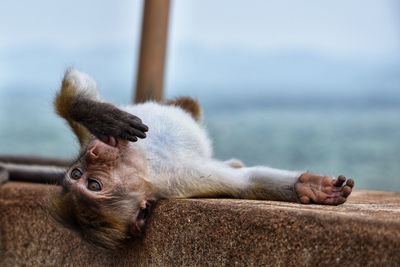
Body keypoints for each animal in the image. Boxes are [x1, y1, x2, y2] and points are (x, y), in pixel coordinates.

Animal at [48, 70, 354, 250]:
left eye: (80, 176)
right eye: (94, 185)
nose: (94, 154)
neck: (145, 164)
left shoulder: (92, 138)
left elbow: (71, 92)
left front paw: (96, 113)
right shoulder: (185, 180)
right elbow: (245, 183)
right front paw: (309, 188)